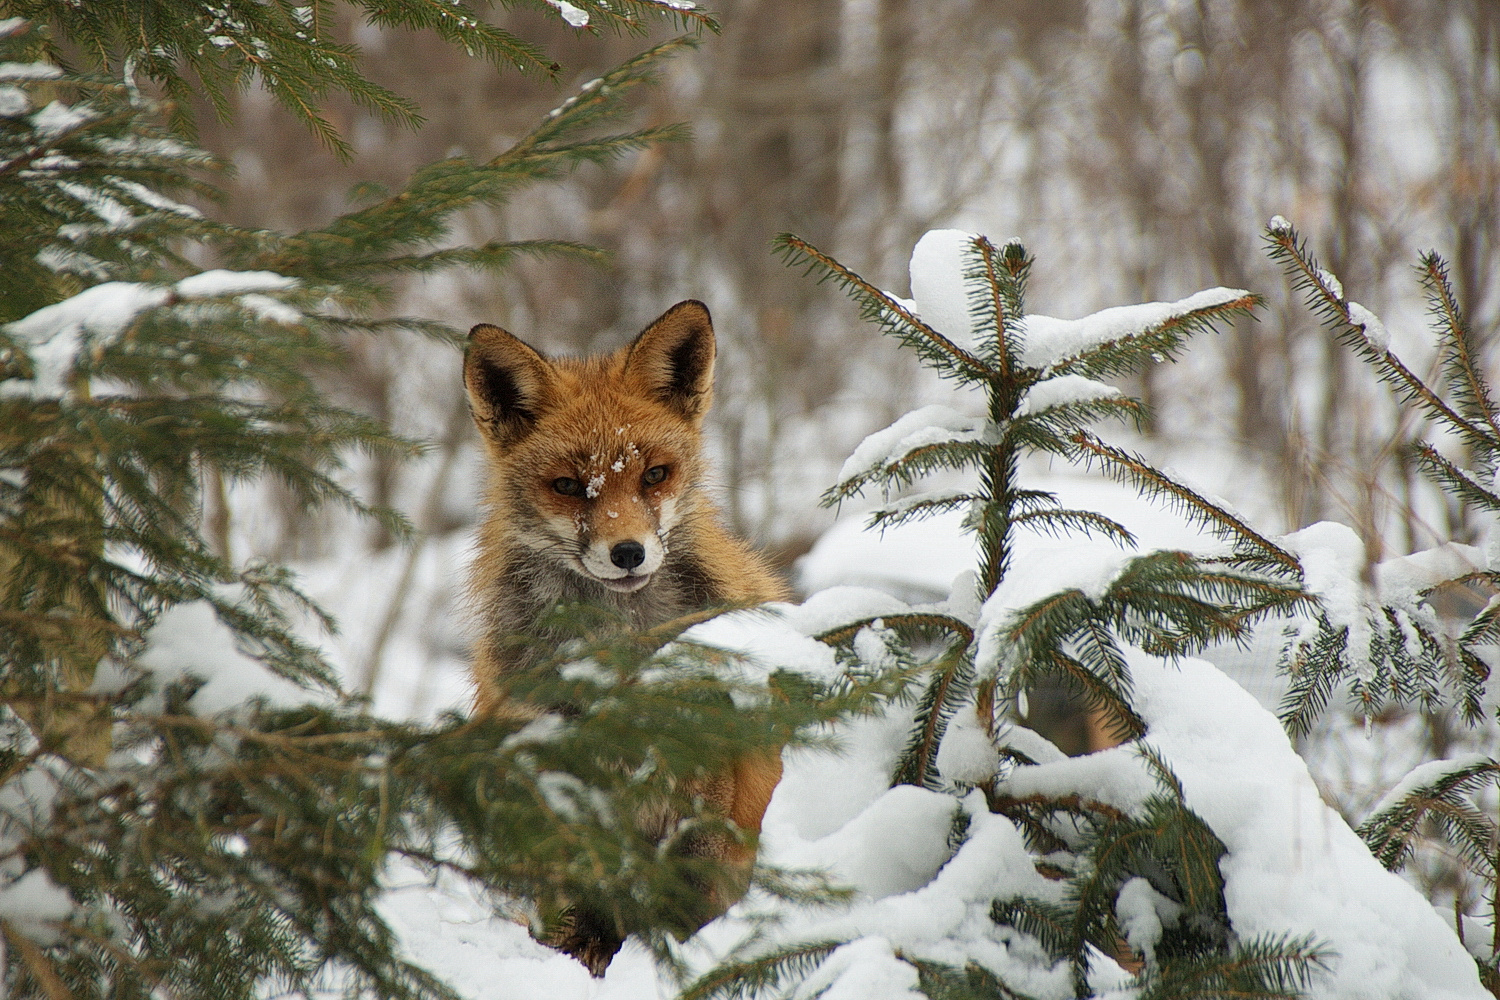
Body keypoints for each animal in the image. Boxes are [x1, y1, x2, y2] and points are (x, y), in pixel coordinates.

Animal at [459, 296, 786, 977]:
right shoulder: (559, 772)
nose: (629, 552)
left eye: (655, 475)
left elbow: (691, 889)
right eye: (565, 485)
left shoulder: (706, 767)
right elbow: (577, 896)